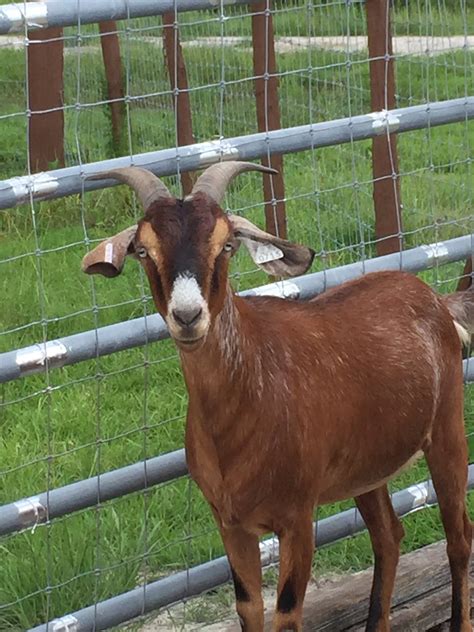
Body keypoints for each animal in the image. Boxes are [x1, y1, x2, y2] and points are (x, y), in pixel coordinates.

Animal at [83, 163, 472, 632]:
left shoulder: (297, 517)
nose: (188, 316)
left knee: (459, 537)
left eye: (226, 244)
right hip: (366, 466)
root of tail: (434, 298)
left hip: (447, 430)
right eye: (143, 250)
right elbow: (248, 606)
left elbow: (286, 612)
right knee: (388, 536)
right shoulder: (230, 524)